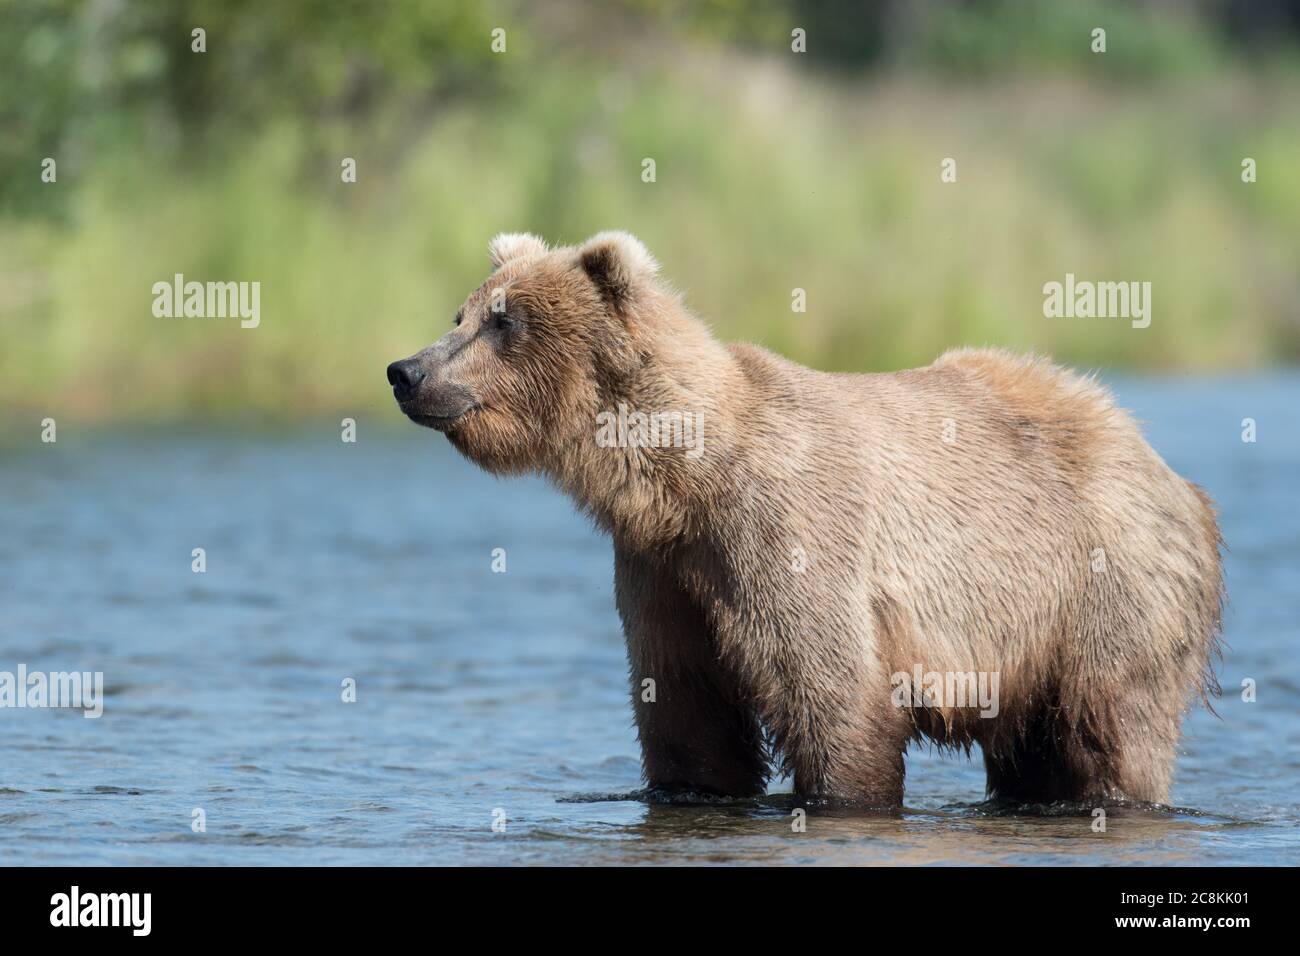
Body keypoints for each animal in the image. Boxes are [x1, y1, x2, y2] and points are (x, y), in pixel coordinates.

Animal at [382, 231, 1216, 806]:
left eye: (505, 321)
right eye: (460, 312)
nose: (405, 370)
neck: (679, 479)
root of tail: (1159, 459)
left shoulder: (788, 534)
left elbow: (831, 692)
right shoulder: (662, 569)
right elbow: (684, 709)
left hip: (1100, 587)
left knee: (1108, 730)